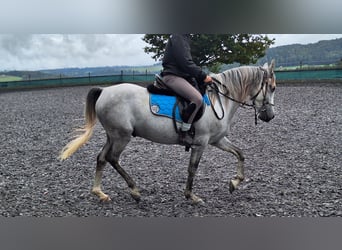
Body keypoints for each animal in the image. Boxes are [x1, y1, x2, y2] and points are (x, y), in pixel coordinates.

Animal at [60, 61, 276, 205]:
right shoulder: (201, 143)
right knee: (113, 158)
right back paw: (134, 191)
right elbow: (192, 169)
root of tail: (104, 91)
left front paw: (234, 182)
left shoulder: (218, 140)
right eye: (272, 87)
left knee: (102, 158)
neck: (221, 100)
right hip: (121, 136)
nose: (270, 116)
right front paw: (191, 196)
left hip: (112, 136)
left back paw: (99, 192)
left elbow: (240, 153)